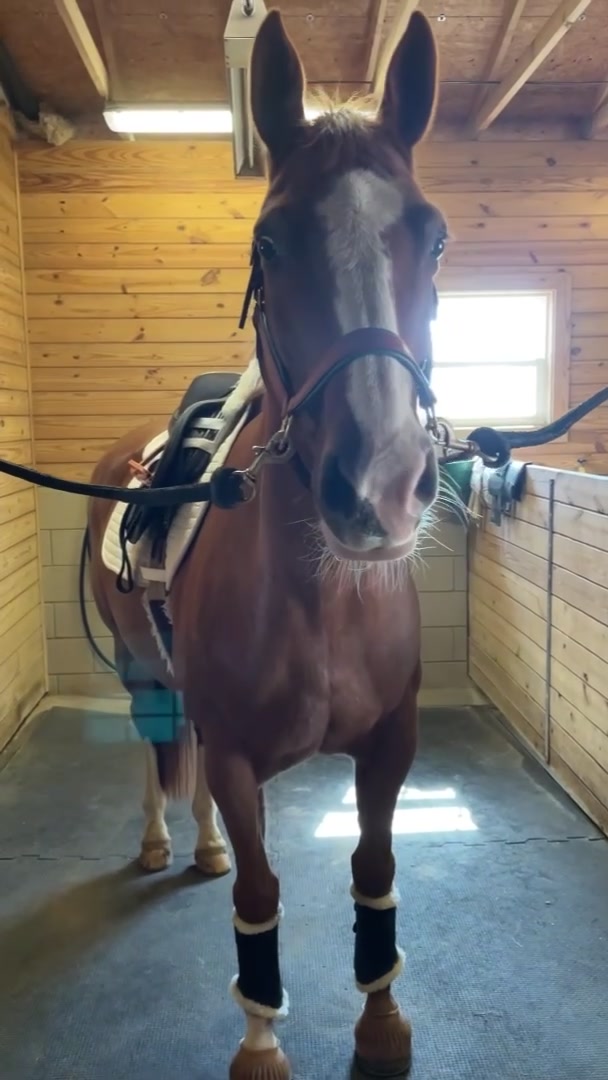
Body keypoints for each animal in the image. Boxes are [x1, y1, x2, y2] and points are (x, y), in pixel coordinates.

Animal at [87, 9, 448, 1078]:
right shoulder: (243, 759)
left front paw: (381, 1025)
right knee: (157, 752)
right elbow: (258, 896)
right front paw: (260, 1043)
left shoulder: (390, 746)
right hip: (139, 668)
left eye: (436, 238)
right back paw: (164, 840)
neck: (324, 597)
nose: (381, 484)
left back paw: (199, 845)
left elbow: (373, 871)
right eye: (270, 239)